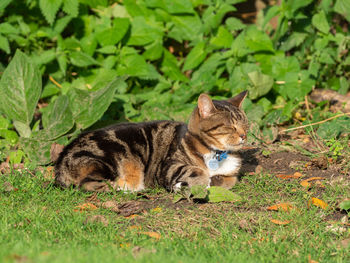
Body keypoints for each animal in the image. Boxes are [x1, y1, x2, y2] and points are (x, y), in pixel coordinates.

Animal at [54, 92, 249, 193]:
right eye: (231, 126)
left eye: (246, 124)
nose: (244, 135)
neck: (216, 154)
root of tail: (60, 164)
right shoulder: (167, 166)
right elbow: (196, 172)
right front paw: (191, 183)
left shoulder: (231, 175)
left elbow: (227, 181)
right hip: (106, 159)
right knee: (89, 184)